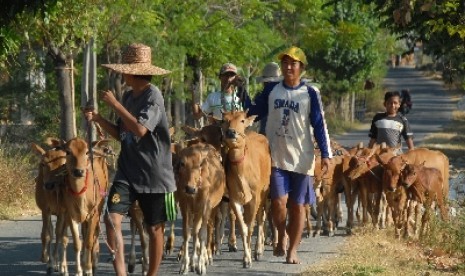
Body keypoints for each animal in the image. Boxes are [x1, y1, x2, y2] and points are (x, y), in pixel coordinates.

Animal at [174, 142, 225, 274]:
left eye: (200, 164)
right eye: (182, 163)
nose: (190, 188)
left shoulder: (205, 205)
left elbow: (202, 233)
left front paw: (201, 265)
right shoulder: (184, 205)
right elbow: (187, 233)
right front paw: (185, 265)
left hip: (212, 208)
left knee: (209, 227)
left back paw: (208, 257)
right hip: (196, 211)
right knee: (195, 230)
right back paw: (193, 262)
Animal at [220, 110, 270, 268]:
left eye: (242, 120)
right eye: (224, 120)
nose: (231, 132)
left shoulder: (255, 196)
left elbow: (251, 226)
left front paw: (250, 257)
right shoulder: (234, 198)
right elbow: (243, 227)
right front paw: (246, 258)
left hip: (265, 191)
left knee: (261, 217)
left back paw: (259, 250)